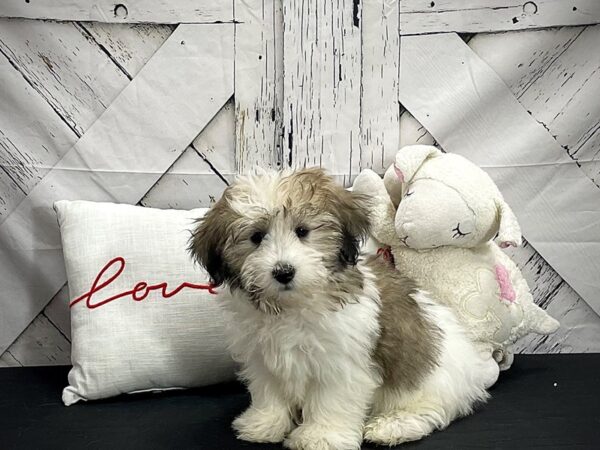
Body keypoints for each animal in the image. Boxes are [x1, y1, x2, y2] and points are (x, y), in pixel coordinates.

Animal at [190, 168, 494, 450]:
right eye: (256, 237)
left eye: (302, 231)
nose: (283, 271)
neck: (293, 305)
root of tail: (474, 368)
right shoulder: (261, 357)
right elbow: (269, 391)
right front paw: (264, 423)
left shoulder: (339, 363)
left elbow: (331, 400)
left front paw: (320, 437)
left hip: (430, 382)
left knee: (429, 409)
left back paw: (393, 426)